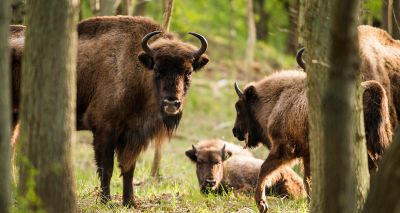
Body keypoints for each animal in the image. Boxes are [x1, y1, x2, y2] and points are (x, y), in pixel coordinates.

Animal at [233, 71, 392, 211]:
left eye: (239, 107)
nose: (235, 131)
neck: (278, 99)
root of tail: (372, 89)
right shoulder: (307, 155)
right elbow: (308, 180)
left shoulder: (284, 149)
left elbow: (264, 169)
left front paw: (262, 204)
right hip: (379, 141)